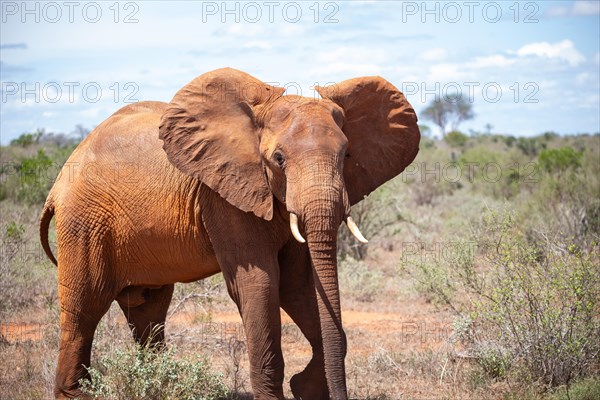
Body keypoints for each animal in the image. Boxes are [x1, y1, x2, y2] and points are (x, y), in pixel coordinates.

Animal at [38, 67, 422, 398]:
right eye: (279, 159)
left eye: (346, 155)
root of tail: (57, 184)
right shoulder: (223, 195)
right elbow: (260, 283)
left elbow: (297, 285)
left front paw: (304, 387)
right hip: (84, 222)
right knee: (83, 312)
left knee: (148, 312)